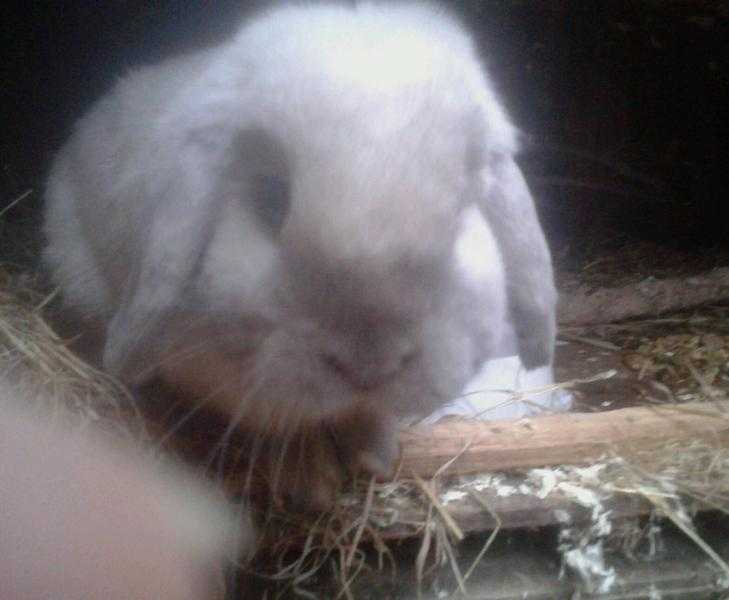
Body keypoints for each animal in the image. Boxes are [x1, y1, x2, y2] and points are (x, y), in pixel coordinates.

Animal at [44, 1, 556, 510]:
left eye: (462, 209)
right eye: (273, 198)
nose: (369, 364)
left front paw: (375, 455)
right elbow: (280, 424)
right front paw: (311, 478)